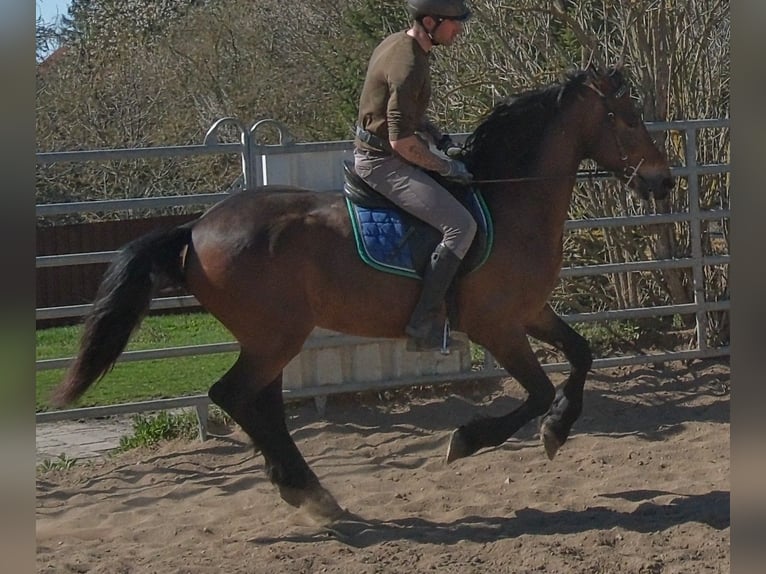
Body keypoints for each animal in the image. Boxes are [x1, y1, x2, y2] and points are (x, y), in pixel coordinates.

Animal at [51, 65, 673, 523]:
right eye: (629, 117)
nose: (663, 181)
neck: (506, 202)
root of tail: (197, 229)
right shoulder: (497, 326)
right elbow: (539, 391)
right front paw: (472, 439)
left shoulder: (530, 312)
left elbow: (581, 356)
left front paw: (557, 432)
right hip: (276, 337)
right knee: (235, 396)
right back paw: (308, 492)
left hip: (270, 341)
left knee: (260, 405)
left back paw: (309, 492)